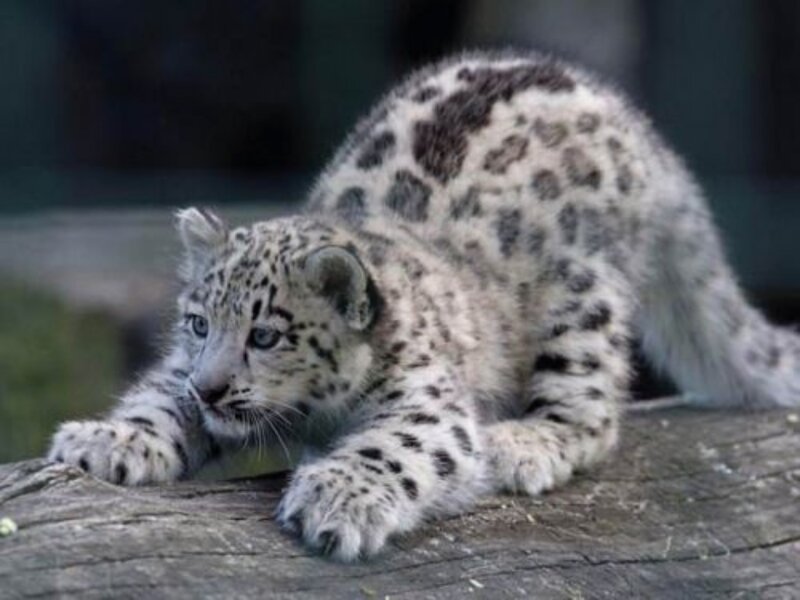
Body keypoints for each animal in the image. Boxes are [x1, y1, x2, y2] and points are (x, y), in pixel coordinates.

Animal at [49, 50, 800, 561]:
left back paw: (523, 443)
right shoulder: (182, 367)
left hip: (582, 301)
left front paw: (335, 498)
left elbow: (398, 446)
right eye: (199, 323)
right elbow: (157, 395)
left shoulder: (426, 403)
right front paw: (106, 441)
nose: (209, 390)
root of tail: (628, 118)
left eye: (265, 336)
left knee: (591, 411)